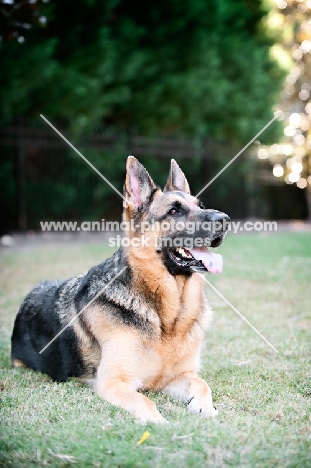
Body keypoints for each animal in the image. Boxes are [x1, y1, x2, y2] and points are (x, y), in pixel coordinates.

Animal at [11, 157, 229, 424]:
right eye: (174, 211)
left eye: (201, 205)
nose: (224, 220)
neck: (167, 319)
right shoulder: (113, 383)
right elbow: (144, 401)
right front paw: (159, 423)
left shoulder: (176, 377)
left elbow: (201, 383)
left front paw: (205, 408)